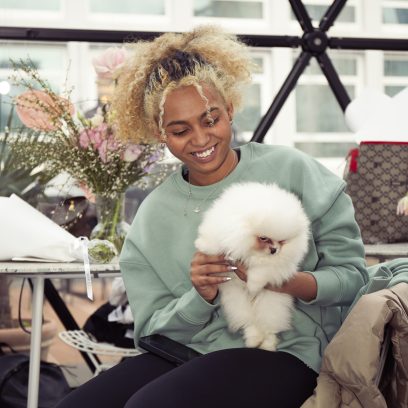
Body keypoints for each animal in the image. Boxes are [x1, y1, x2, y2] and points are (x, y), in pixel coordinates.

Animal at [195, 182, 310, 351]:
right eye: (263, 238)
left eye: (282, 241)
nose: (274, 250)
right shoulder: (223, 230)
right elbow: (214, 242)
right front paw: (203, 245)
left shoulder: (278, 266)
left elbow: (262, 272)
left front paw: (253, 285)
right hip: (237, 303)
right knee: (249, 323)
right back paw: (253, 340)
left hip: (271, 304)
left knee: (268, 327)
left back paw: (267, 344)